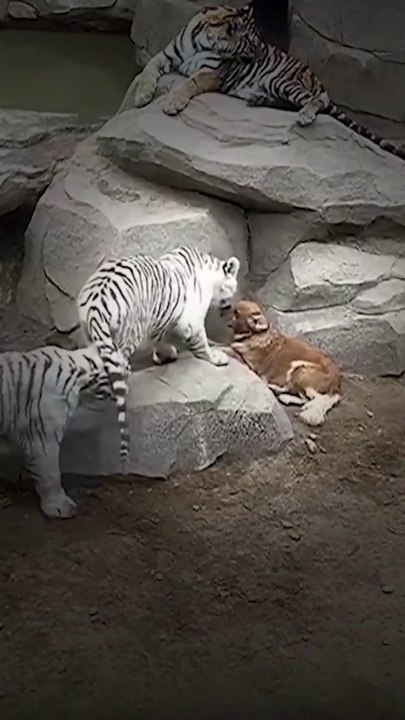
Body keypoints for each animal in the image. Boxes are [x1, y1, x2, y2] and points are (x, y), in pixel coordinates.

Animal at [77, 245, 241, 468]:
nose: (229, 308)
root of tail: (96, 304)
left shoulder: (160, 321)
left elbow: (160, 337)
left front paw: (164, 355)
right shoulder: (192, 320)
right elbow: (201, 341)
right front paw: (215, 357)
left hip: (92, 336)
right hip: (127, 333)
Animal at [123, 2, 405, 163]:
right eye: (253, 42)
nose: (261, 54)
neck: (205, 36)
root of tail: (317, 80)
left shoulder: (210, 73)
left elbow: (188, 83)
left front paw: (172, 103)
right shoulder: (166, 54)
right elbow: (148, 69)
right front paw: (142, 96)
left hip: (282, 81)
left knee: (315, 102)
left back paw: (304, 116)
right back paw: (257, 99)